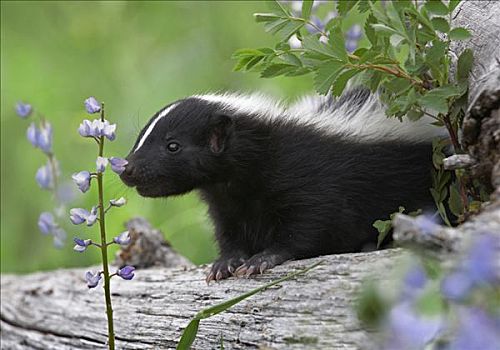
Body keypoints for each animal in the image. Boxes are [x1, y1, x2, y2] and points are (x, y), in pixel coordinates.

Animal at [121, 87, 442, 282]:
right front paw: (226, 262)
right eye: (141, 136)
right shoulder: (227, 201)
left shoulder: (311, 178)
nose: (126, 169)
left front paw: (263, 258)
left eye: (173, 146)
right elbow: (229, 232)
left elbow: (310, 225)